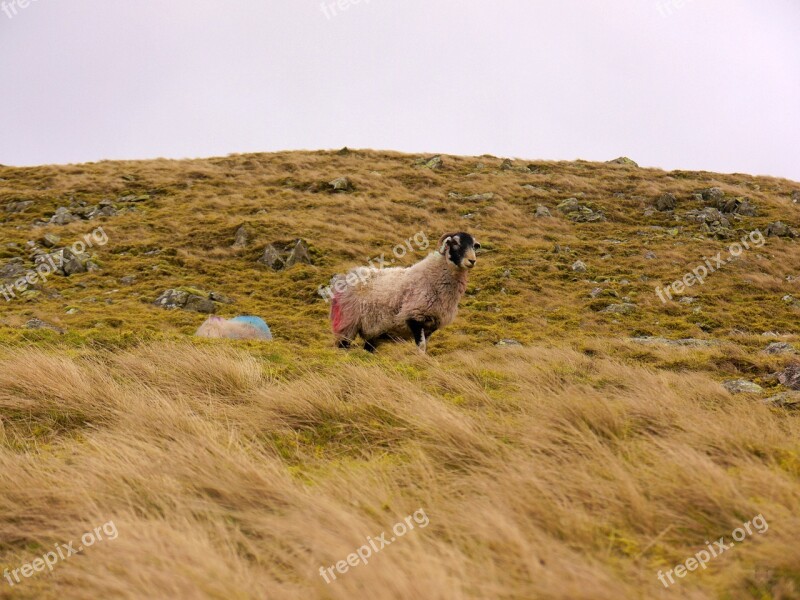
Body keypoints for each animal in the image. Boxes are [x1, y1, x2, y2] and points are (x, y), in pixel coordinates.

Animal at [326, 230, 478, 352]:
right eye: (456, 243)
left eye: (473, 246)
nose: (472, 261)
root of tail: (343, 277)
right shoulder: (414, 316)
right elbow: (421, 346)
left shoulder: (431, 323)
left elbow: (425, 345)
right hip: (347, 323)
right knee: (343, 346)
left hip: (372, 329)